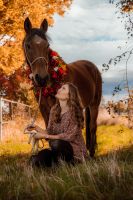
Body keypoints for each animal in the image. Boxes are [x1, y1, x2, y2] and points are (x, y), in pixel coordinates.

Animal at [22, 17, 102, 158]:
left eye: (47, 45)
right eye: (28, 45)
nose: (42, 78)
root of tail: (92, 66)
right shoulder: (44, 108)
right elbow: (49, 132)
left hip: (94, 104)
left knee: (93, 127)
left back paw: (91, 154)